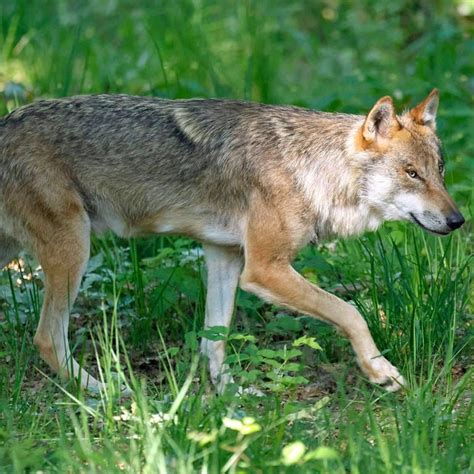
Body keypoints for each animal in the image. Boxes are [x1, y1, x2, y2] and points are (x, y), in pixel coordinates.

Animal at [0, 89, 464, 392]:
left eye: (439, 170)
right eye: (411, 173)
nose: (458, 220)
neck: (312, 170)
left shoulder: (223, 255)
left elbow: (214, 341)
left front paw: (230, 401)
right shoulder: (264, 270)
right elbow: (350, 312)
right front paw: (379, 370)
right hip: (73, 253)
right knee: (47, 338)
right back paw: (109, 395)